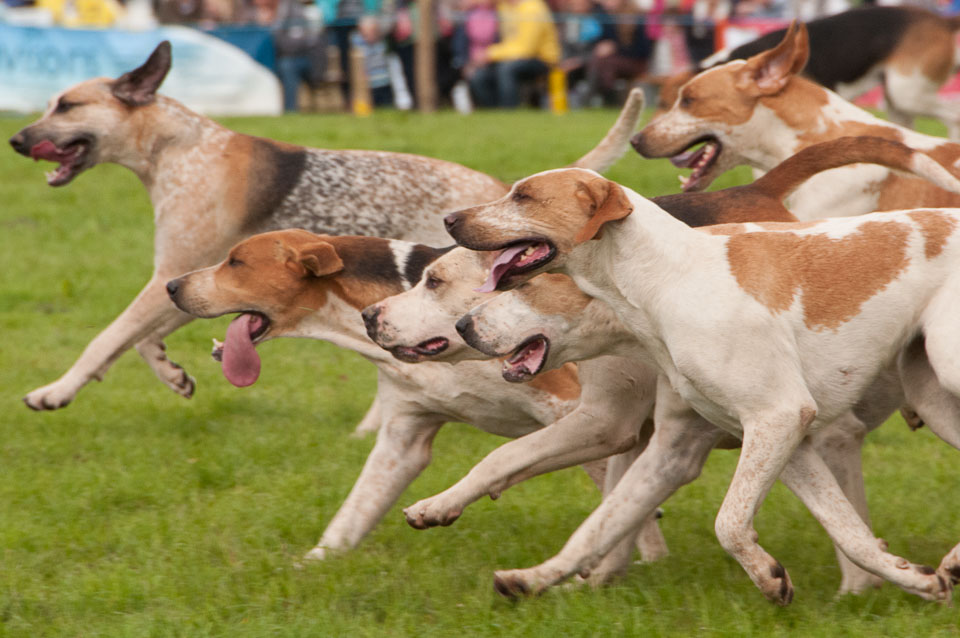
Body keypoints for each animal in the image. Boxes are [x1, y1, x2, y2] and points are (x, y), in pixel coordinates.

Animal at [161, 234, 664, 568]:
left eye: (235, 262)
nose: (171, 286)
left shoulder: (579, 413)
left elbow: (618, 498)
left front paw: (640, 560)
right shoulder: (402, 438)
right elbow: (350, 517)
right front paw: (311, 567)